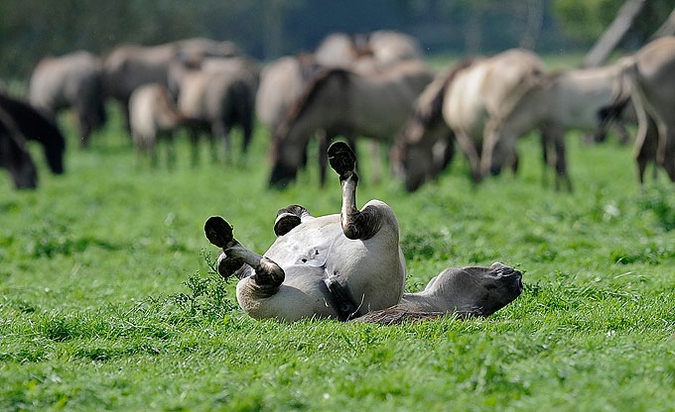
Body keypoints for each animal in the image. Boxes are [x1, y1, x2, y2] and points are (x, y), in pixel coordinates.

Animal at [203, 143, 524, 324]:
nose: (514, 274)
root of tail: (333, 287)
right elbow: (289, 217)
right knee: (270, 271)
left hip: (252, 294)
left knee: (275, 272)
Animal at [266, 60, 436, 188]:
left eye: (278, 158)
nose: (271, 185)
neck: (329, 99)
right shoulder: (325, 133)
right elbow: (321, 161)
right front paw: (321, 186)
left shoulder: (351, 132)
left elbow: (356, 158)